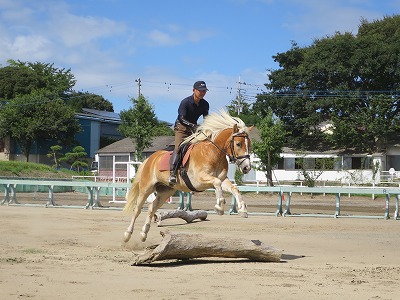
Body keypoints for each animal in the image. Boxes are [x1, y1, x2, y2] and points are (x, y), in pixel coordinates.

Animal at [123, 111, 252, 243]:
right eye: (238, 144)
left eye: (250, 145)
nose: (247, 167)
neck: (213, 153)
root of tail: (150, 159)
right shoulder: (198, 181)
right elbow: (216, 183)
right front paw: (219, 206)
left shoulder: (222, 179)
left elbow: (233, 188)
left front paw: (242, 209)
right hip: (146, 188)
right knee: (137, 209)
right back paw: (127, 234)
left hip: (165, 192)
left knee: (151, 207)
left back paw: (143, 233)